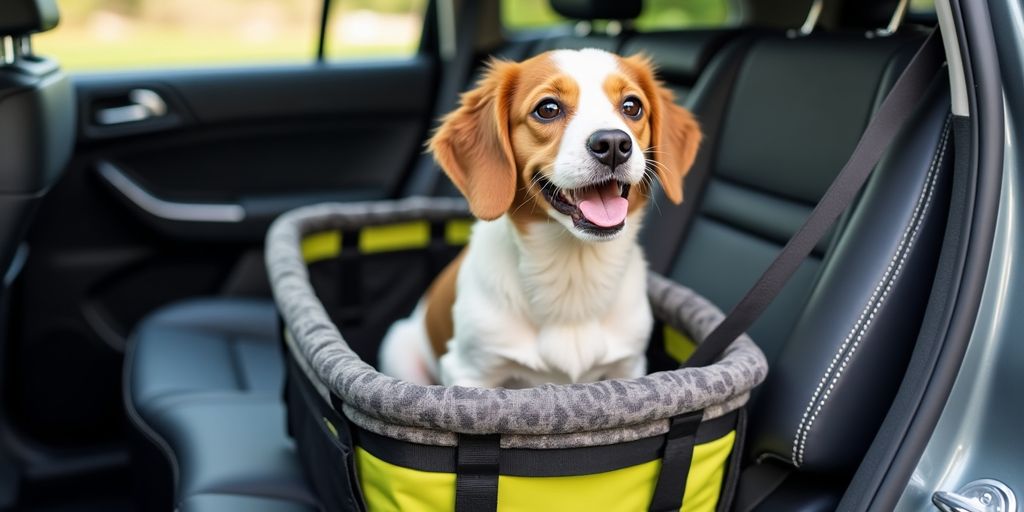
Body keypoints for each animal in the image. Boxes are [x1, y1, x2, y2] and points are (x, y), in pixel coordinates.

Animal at [380, 48, 700, 387]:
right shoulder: (469, 372)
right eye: (548, 108)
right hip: (398, 349)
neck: (573, 269)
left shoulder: (628, 367)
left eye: (632, 106)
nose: (614, 144)